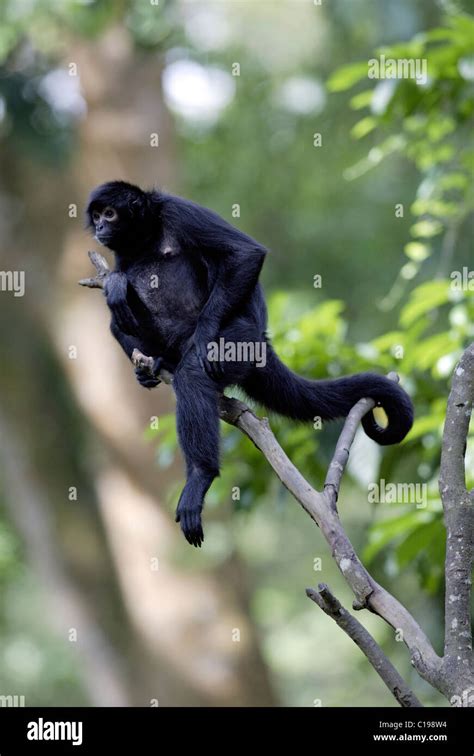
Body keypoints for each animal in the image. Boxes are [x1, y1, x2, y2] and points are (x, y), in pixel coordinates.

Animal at [87, 183, 412, 548]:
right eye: (96, 216)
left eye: (109, 214)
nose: (100, 227)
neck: (146, 234)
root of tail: (263, 339)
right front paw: (115, 283)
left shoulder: (177, 211)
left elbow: (245, 254)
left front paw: (202, 337)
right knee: (118, 322)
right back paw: (155, 362)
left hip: (241, 341)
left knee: (193, 371)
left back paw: (200, 474)